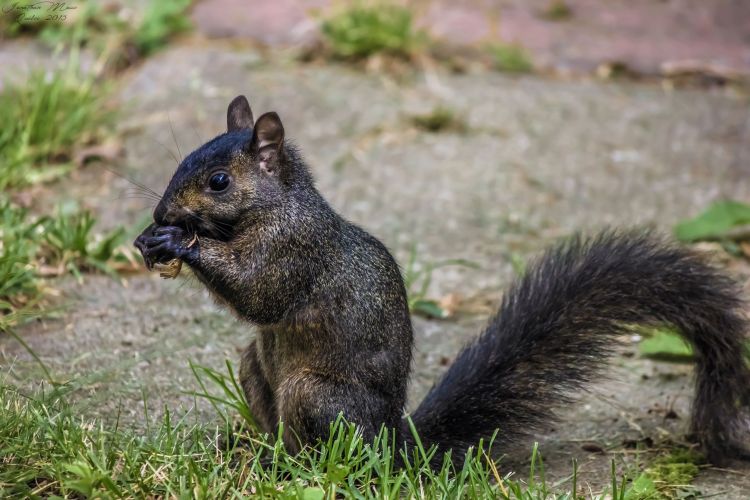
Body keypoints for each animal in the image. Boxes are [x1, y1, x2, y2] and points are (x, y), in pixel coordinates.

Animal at [135, 94, 750, 464]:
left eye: (218, 180)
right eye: (183, 159)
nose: (163, 212)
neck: (274, 207)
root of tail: (395, 448)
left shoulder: (294, 250)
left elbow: (260, 293)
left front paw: (178, 243)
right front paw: (150, 239)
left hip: (316, 394)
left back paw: (290, 469)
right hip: (255, 368)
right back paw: (252, 452)